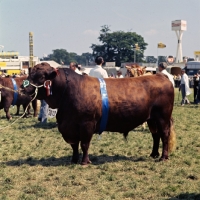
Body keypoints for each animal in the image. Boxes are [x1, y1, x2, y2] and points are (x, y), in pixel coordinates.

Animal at [23, 63, 176, 165]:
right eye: (30, 74)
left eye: (41, 76)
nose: (23, 89)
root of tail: (161, 76)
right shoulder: (69, 126)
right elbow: (74, 145)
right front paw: (74, 159)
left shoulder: (87, 124)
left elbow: (84, 144)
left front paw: (85, 161)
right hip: (151, 119)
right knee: (155, 135)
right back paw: (153, 154)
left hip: (163, 117)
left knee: (164, 135)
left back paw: (163, 157)